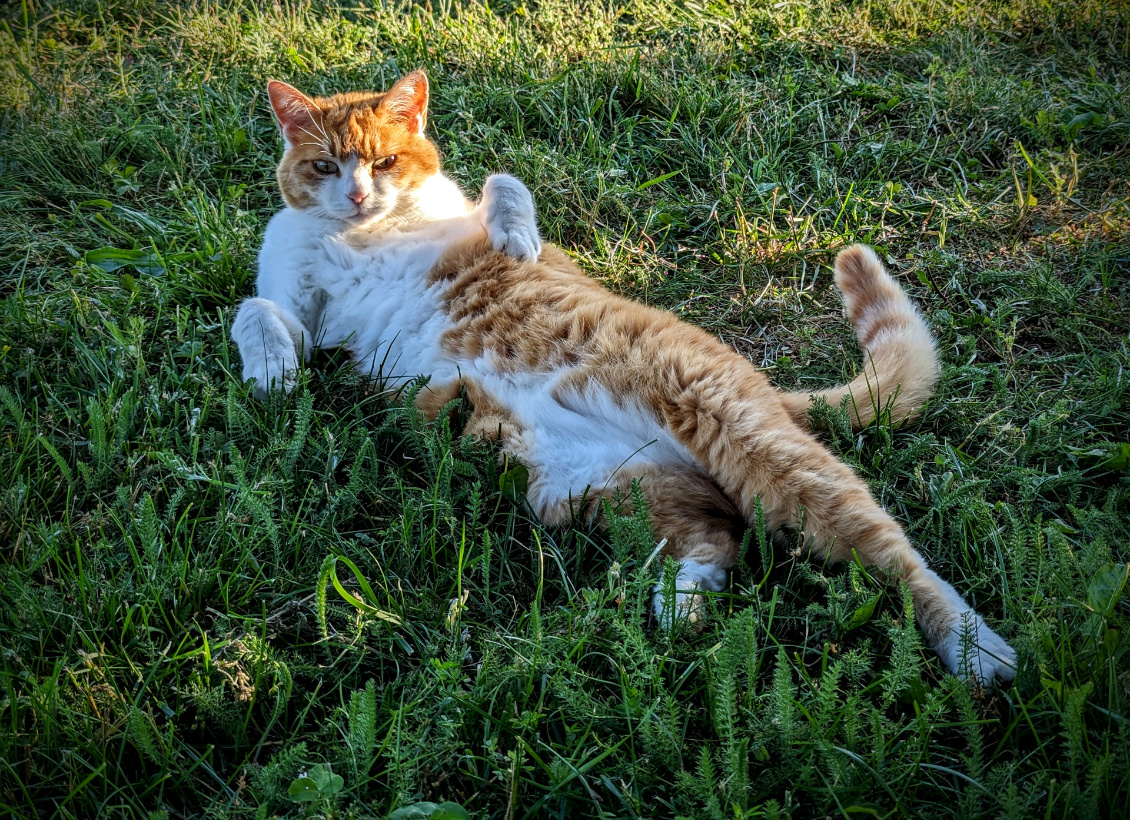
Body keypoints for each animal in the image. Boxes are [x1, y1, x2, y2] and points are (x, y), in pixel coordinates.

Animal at [229, 70, 1017, 686]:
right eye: (326, 168)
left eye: (386, 160)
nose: (359, 196)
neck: (362, 236)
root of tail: (763, 386)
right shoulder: (300, 305)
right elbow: (257, 311)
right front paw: (272, 372)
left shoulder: (465, 217)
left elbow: (503, 184)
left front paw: (515, 233)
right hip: (594, 490)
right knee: (716, 536)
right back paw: (680, 606)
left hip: (750, 445)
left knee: (895, 556)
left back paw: (980, 653)